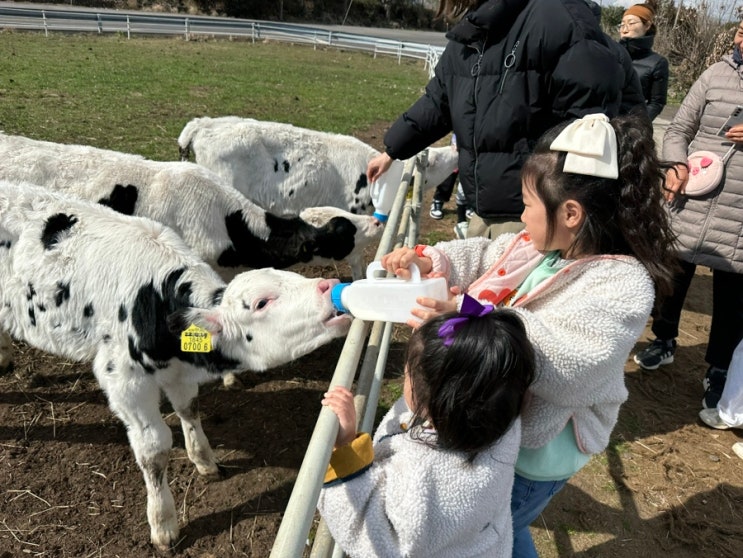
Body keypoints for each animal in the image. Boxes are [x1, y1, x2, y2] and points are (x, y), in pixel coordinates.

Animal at [0, 180, 352, 552]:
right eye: (261, 303)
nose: (329, 286)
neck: (156, 302)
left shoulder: (179, 374)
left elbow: (189, 408)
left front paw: (204, 459)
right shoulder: (124, 381)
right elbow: (154, 450)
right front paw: (163, 522)